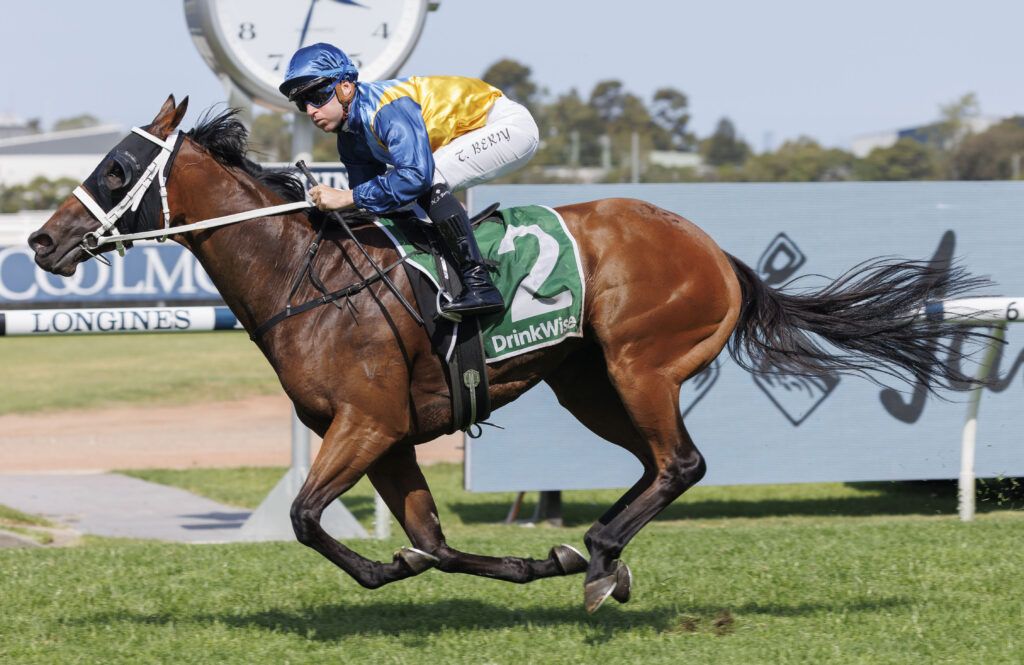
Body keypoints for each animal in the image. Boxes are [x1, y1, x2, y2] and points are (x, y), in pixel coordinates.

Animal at [29, 96, 991, 612]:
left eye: (116, 170)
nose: (40, 241)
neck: (309, 275)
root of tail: (717, 253)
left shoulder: (364, 423)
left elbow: (307, 516)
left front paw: (386, 565)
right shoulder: (391, 436)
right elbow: (432, 539)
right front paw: (521, 560)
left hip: (641, 364)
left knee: (681, 462)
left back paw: (599, 552)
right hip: (589, 385)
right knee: (657, 466)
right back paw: (597, 555)